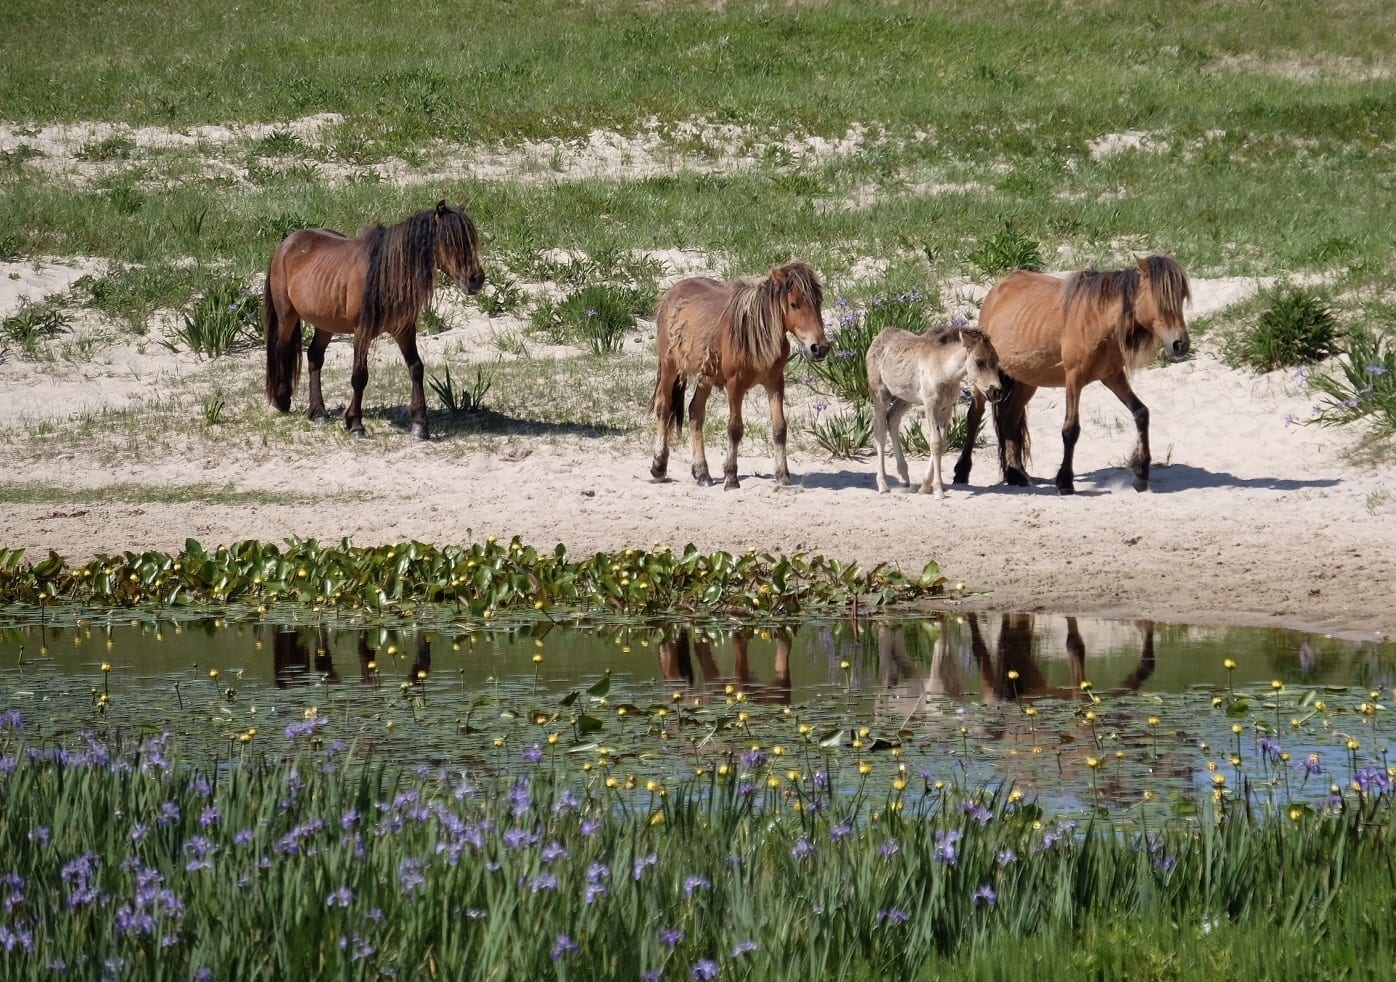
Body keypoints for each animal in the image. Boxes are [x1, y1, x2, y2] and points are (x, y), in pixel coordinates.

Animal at [262, 201, 485, 438]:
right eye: (450, 240)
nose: (476, 279)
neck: (385, 274)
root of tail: (286, 244)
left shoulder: (404, 330)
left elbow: (416, 368)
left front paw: (420, 424)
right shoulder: (362, 332)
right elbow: (359, 376)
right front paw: (355, 423)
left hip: (325, 323)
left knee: (314, 357)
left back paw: (319, 412)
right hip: (287, 316)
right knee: (282, 348)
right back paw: (281, 400)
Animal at [644, 261, 826, 491]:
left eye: (819, 302)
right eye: (794, 304)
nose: (819, 348)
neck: (753, 333)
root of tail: (671, 293)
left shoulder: (775, 382)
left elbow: (779, 429)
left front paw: (783, 475)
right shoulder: (735, 385)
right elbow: (735, 429)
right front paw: (731, 477)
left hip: (705, 377)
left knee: (695, 413)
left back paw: (702, 473)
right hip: (670, 367)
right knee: (664, 407)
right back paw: (658, 466)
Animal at [859, 326, 1005, 500]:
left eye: (997, 361)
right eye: (979, 361)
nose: (996, 392)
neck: (944, 369)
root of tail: (880, 336)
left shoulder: (946, 408)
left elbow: (942, 444)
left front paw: (925, 486)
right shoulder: (930, 406)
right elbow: (935, 443)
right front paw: (938, 490)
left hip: (906, 398)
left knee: (892, 418)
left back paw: (904, 477)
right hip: (880, 394)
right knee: (879, 431)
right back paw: (883, 484)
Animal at [954, 255, 1194, 494]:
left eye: (1181, 297)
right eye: (1160, 298)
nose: (1180, 345)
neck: (1097, 319)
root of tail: (997, 288)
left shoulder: (1113, 377)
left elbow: (1141, 413)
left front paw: (1141, 473)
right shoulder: (1074, 379)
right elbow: (1071, 430)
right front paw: (1065, 481)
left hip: (1027, 380)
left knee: (1009, 418)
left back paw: (1016, 474)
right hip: (984, 378)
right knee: (975, 416)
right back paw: (962, 472)